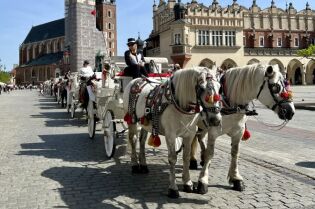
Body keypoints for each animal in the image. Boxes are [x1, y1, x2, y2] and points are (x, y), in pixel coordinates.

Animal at [123, 67, 222, 198]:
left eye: (220, 87)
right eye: (201, 88)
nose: (216, 120)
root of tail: (137, 80)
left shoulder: (189, 135)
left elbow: (186, 157)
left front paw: (187, 183)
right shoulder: (170, 135)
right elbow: (172, 159)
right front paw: (173, 188)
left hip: (145, 123)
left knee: (142, 141)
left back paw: (143, 165)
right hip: (132, 121)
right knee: (133, 140)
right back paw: (135, 165)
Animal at [190, 63, 296, 194]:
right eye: (276, 87)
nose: (291, 111)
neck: (231, 103)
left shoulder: (238, 133)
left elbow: (235, 153)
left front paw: (236, 178)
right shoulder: (213, 131)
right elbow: (211, 153)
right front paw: (203, 180)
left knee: (200, 138)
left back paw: (201, 158)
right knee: (194, 139)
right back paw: (193, 160)